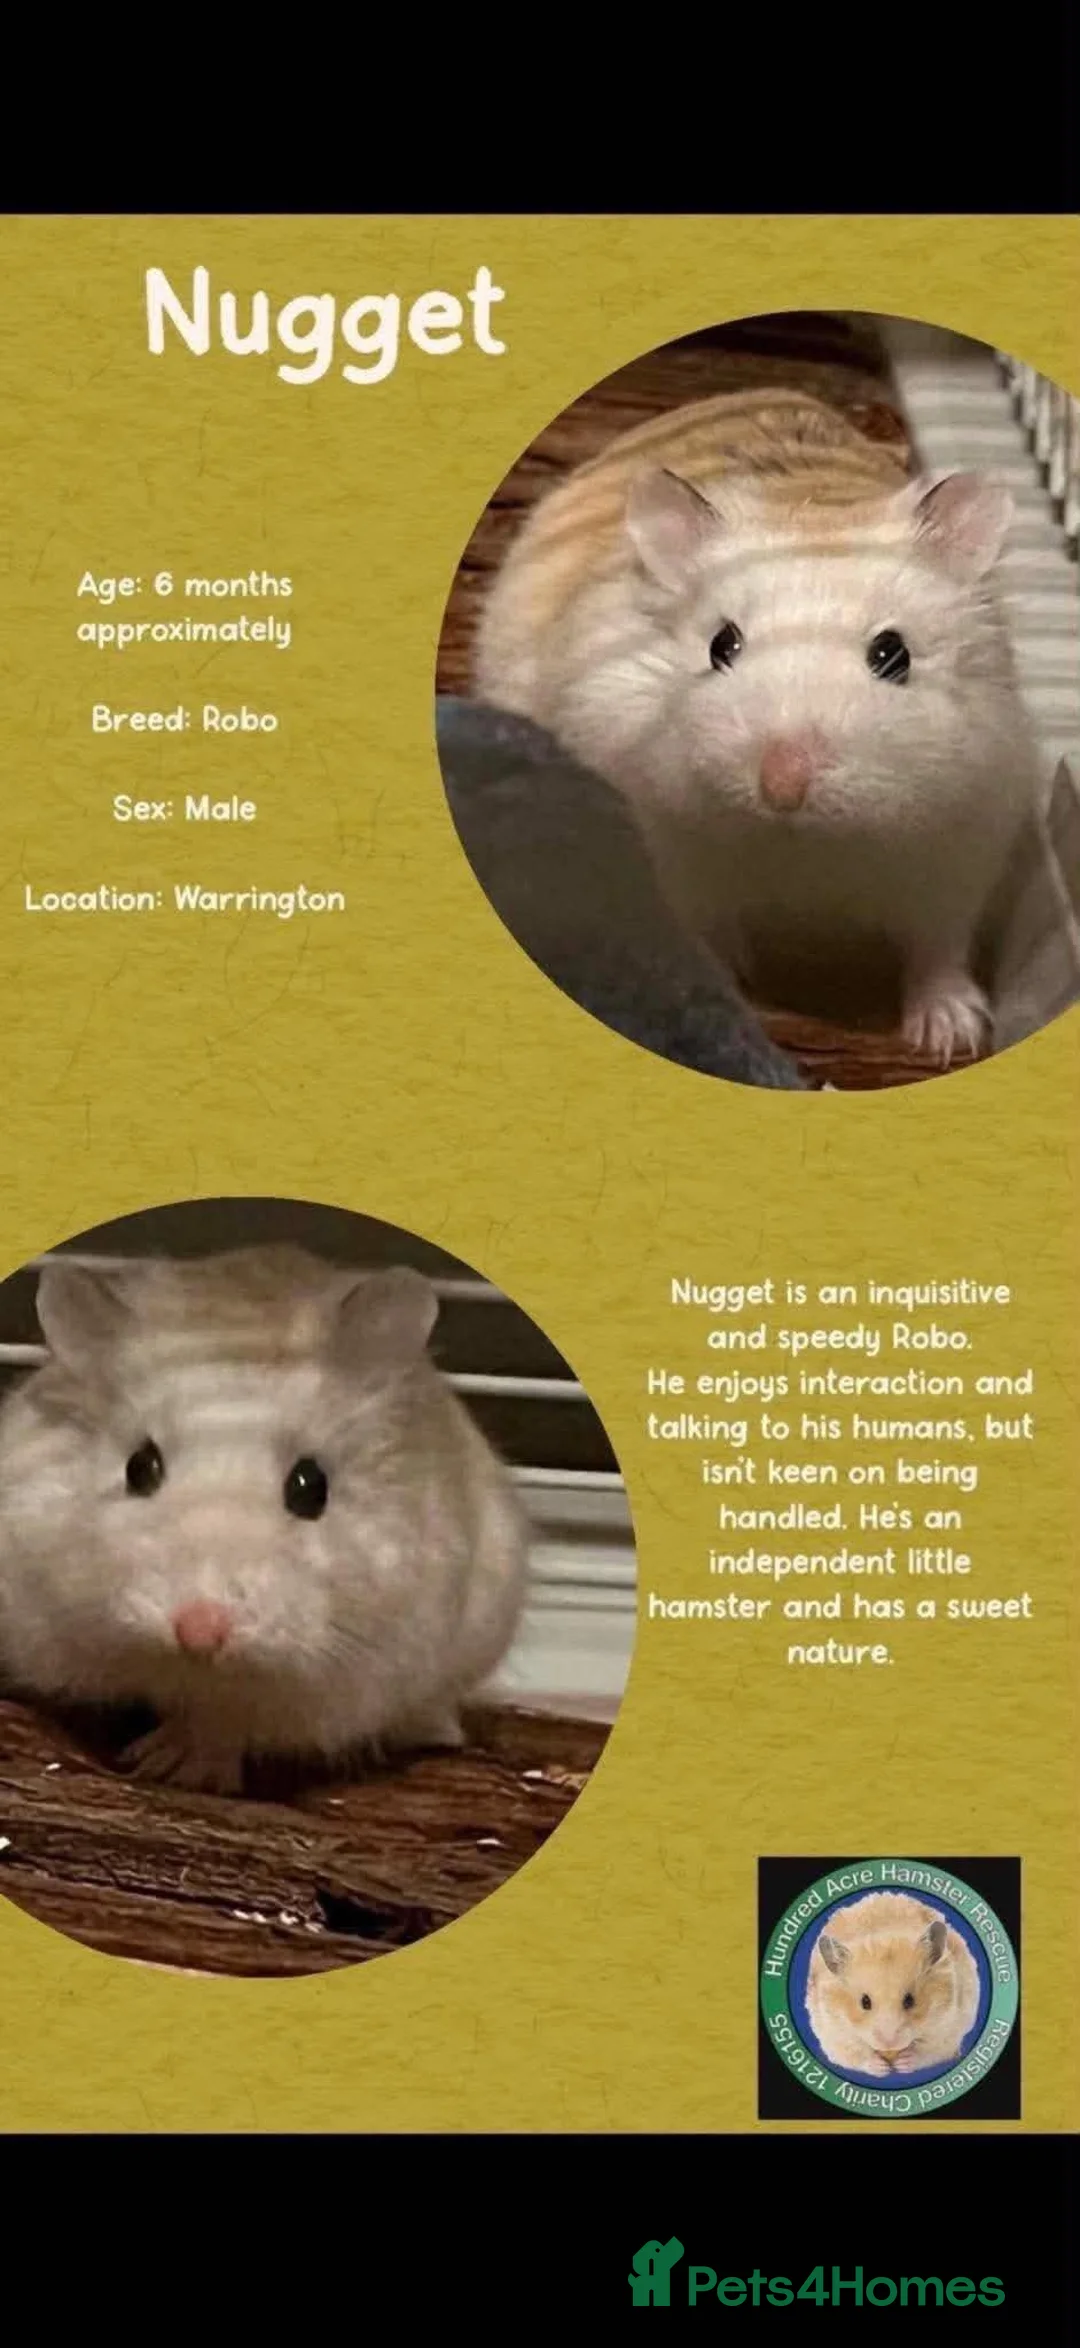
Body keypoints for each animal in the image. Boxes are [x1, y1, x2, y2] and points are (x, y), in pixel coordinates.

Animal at [0, 1245, 528, 1794]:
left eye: (311, 1487)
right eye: (138, 1468)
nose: (199, 1631)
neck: (192, 1667)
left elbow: (227, 1720)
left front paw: (177, 1767)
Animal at [474, 386, 1040, 1066]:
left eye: (894, 655)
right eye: (722, 645)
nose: (782, 786)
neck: (800, 841)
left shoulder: (958, 852)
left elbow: (938, 950)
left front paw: (952, 1038)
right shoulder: (675, 862)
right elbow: (703, 942)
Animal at [805, 1891, 981, 2077]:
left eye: (910, 2000)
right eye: (864, 2002)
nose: (889, 2044)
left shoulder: (949, 2026)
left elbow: (928, 2051)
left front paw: (903, 2063)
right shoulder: (833, 2033)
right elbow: (855, 2055)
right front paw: (882, 2068)